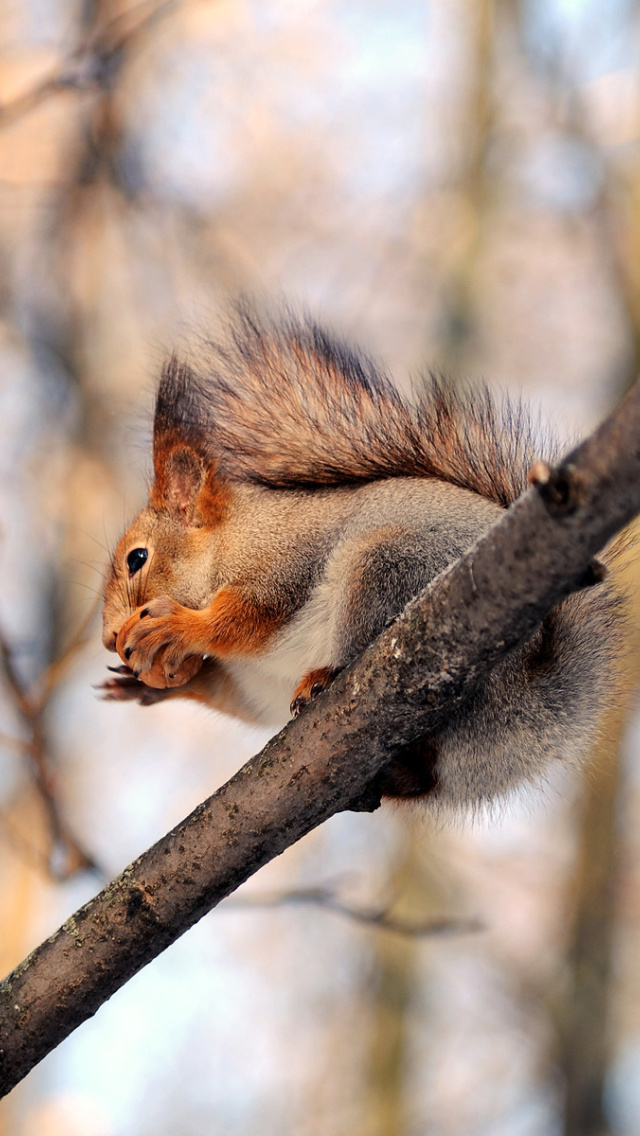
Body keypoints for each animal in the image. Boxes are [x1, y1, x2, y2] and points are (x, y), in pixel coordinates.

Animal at [102, 302, 622, 808]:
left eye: (137, 559)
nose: (108, 639)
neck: (226, 542)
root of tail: (536, 705)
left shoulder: (282, 561)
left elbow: (249, 616)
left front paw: (177, 626)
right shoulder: (254, 684)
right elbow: (232, 694)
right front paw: (145, 682)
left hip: (387, 569)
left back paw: (325, 676)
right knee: (423, 778)